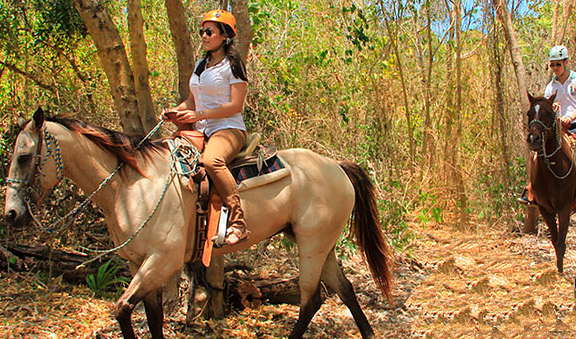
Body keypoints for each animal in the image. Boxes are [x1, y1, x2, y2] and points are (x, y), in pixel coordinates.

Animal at [2, 109, 394, 339]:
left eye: (24, 156)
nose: (11, 214)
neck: (131, 186)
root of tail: (336, 166)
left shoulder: (162, 261)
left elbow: (123, 309)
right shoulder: (142, 264)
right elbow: (152, 316)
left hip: (311, 245)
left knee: (312, 298)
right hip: (321, 244)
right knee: (343, 290)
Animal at [528, 93, 576, 274]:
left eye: (549, 114)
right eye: (529, 113)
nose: (533, 139)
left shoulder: (564, 208)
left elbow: (561, 243)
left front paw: (560, 273)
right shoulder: (545, 209)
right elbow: (556, 243)